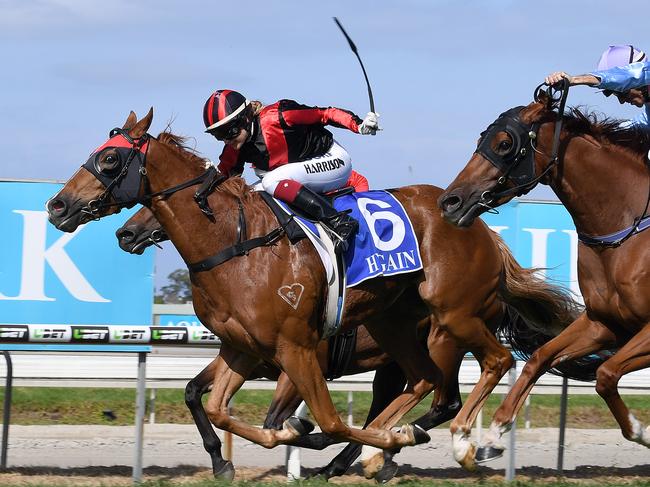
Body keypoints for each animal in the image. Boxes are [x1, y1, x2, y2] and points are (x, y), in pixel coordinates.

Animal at [48, 111, 580, 472]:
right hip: (396, 328)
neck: (236, 244)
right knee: (422, 383)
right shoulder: (242, 349)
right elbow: (215, 405)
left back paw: (453, 442)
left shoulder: (298, 351)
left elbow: (318, 422)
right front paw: (227, 460)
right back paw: (387, 443)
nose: (58, 206)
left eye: (110, 158)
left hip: (454, 320)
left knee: (483, 370)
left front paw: (322, 439)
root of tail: (481, 228)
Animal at [436, 86, 644, 468]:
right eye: (482, 138)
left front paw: (641, 430)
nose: (450, 202)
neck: (625, 229)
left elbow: (606, 375)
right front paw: (489, 437)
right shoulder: (605, 323)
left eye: (505, 143)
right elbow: (539, 358)